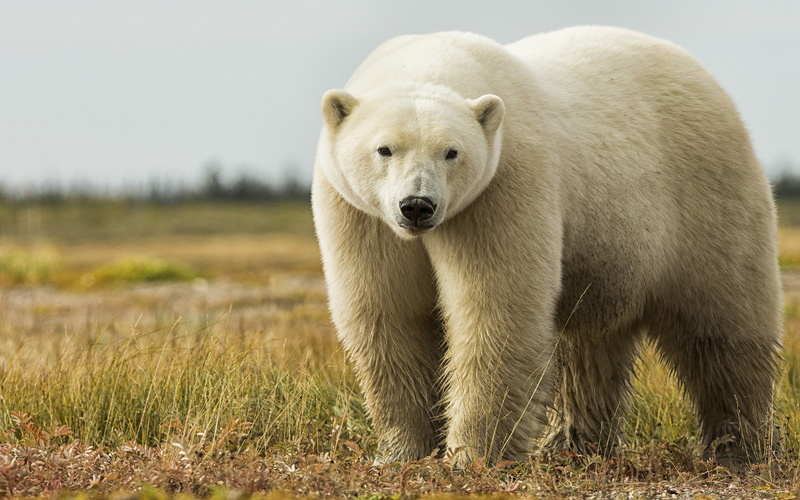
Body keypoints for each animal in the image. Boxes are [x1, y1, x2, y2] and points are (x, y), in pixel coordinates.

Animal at [311, 26, 782, 468]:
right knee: (588, 347)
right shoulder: (360, 216)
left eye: (451, 152)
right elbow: (388, 313)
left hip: (703, 201)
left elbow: (495, 310)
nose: (417, 206)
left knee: (722, 329)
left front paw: (474, 455)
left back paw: (739, 448)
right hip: (604, 251)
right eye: (384, 149)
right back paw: (575, 445)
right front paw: (403, 452)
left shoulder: (503, 187)